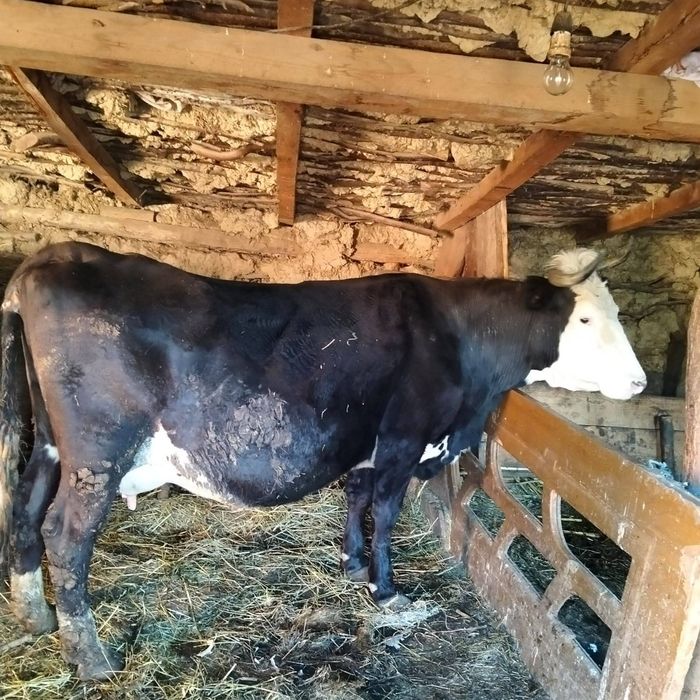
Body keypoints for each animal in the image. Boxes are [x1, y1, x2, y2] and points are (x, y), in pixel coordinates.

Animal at [0, 242, 645, 680]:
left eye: (616, 313)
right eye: (585, 318)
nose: (639, 381)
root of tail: (52, 257)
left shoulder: (367, 444)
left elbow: (356, 498)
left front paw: (352, 565)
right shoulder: (404, 437)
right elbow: (384, 512)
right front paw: (387, 590)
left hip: (52, 445)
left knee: (25, 511)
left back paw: (35, 615)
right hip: (97, 450)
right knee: (64, 535)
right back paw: (90, 657)